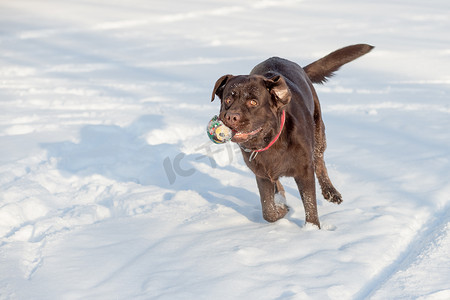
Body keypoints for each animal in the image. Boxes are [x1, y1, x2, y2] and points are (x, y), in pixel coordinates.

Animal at [211, 44, 372, 227]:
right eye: (228, 100)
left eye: (253, 102)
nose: (231, 117)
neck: (272, 141)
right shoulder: (261, 174)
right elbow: (268, 210)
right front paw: (281, 208)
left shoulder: (304, 171)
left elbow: (310, 205)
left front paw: (312, 229)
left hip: (318, 130)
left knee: (319, 161)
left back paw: (331, 192)